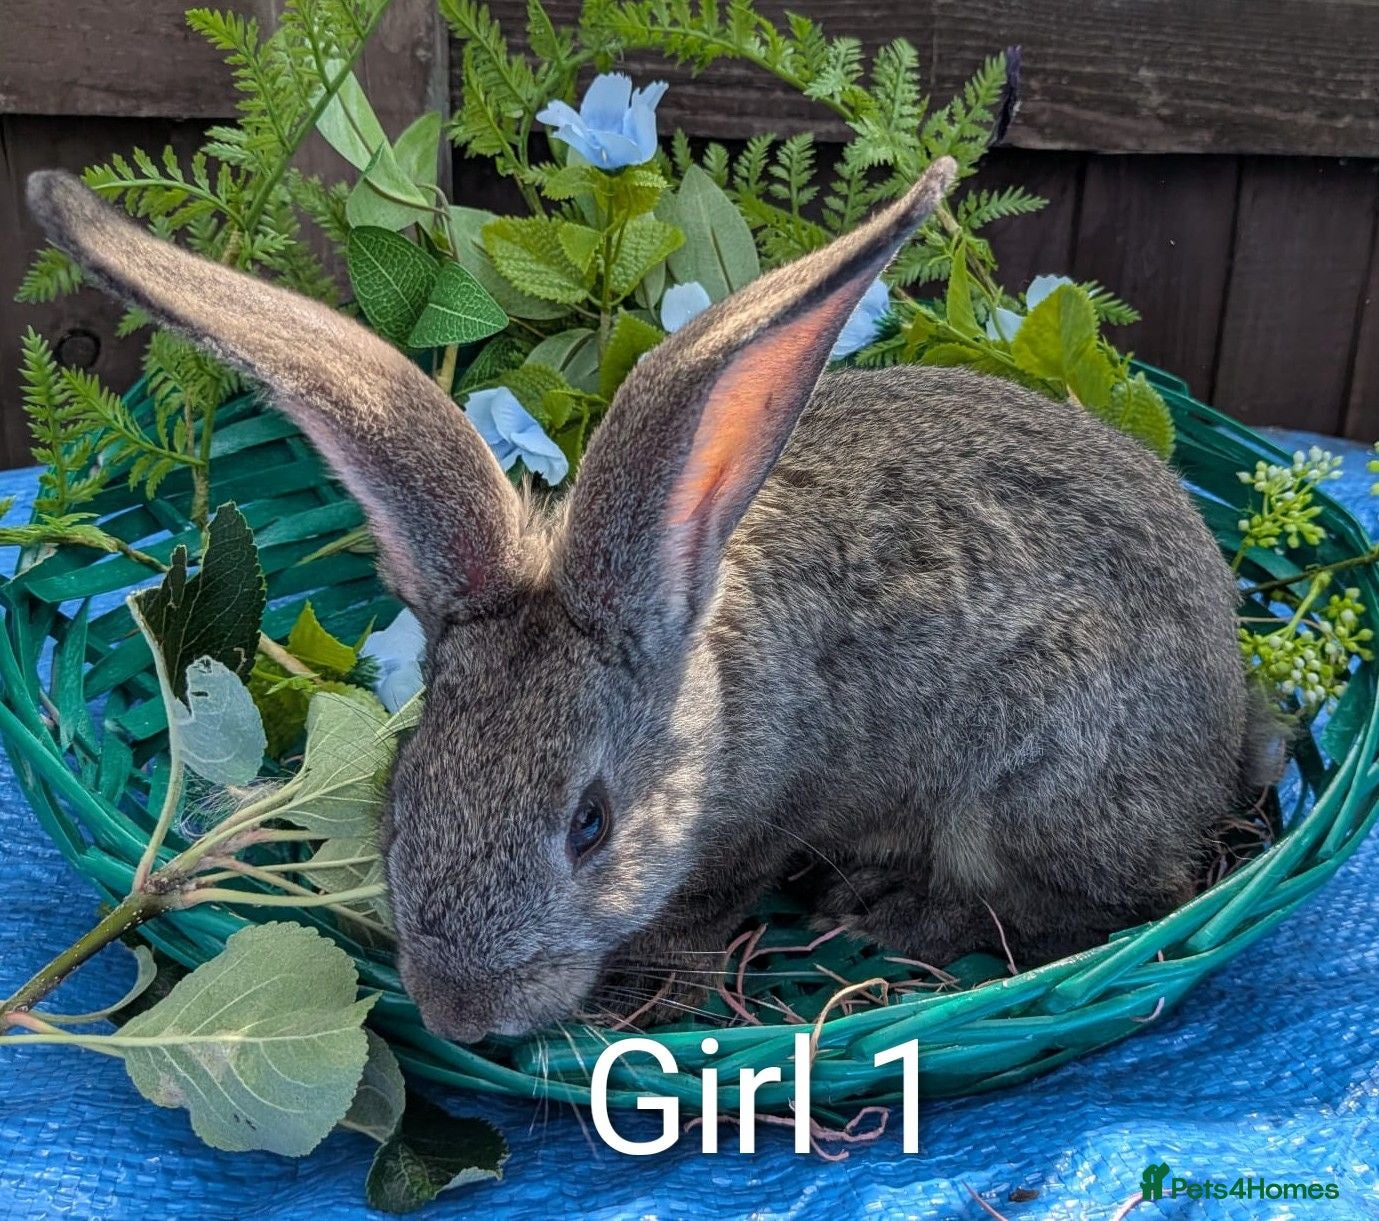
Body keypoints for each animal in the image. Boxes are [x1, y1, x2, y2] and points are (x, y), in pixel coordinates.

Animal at [27, 156, 1284, 1043]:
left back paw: (882, 914)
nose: (457, 1015)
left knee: (1084, 903)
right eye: (406, 786)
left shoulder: (760, 823)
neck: (699, 674)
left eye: (591, 825)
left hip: (1034, 785)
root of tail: (1229, 731)